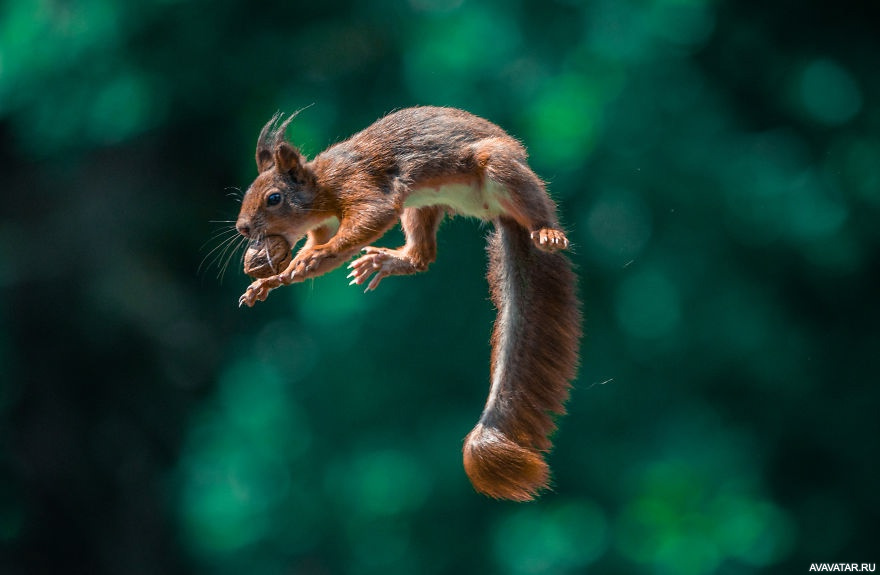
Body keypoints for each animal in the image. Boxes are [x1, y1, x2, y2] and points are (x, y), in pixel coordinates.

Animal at [234, 106, 580, 502]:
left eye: (274, 198)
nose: (242, 228)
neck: (321, 185)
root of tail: (499, 213)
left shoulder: (359, 185)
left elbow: (364, 221)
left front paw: (310, 258)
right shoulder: (323, 225)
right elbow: (316, 255)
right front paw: (270, 280)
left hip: (500, 168)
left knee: (535, 206)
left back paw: (547, 230)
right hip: (422, 207)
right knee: (422, 256)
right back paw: (390, 261)